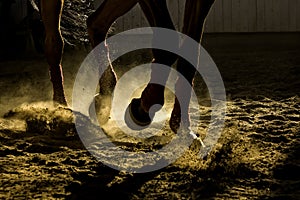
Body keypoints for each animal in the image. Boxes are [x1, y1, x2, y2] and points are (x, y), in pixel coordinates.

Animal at [40, 0, 216, 133]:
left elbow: (191, 52)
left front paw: (181, 122)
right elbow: (167, 42)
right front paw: (143, 106)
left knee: (95, 23)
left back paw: (105, 95)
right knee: (54, 42)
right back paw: (60, 106)